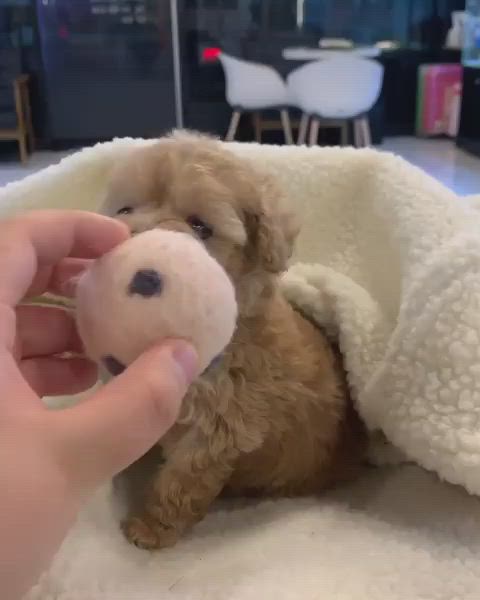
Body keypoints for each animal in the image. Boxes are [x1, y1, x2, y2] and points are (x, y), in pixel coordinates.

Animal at [100, 131, 364, 548]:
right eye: (125, 208)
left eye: (201, 226)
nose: (133, 238)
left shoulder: (220, 429)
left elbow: (181, 481)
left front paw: (151, 528)